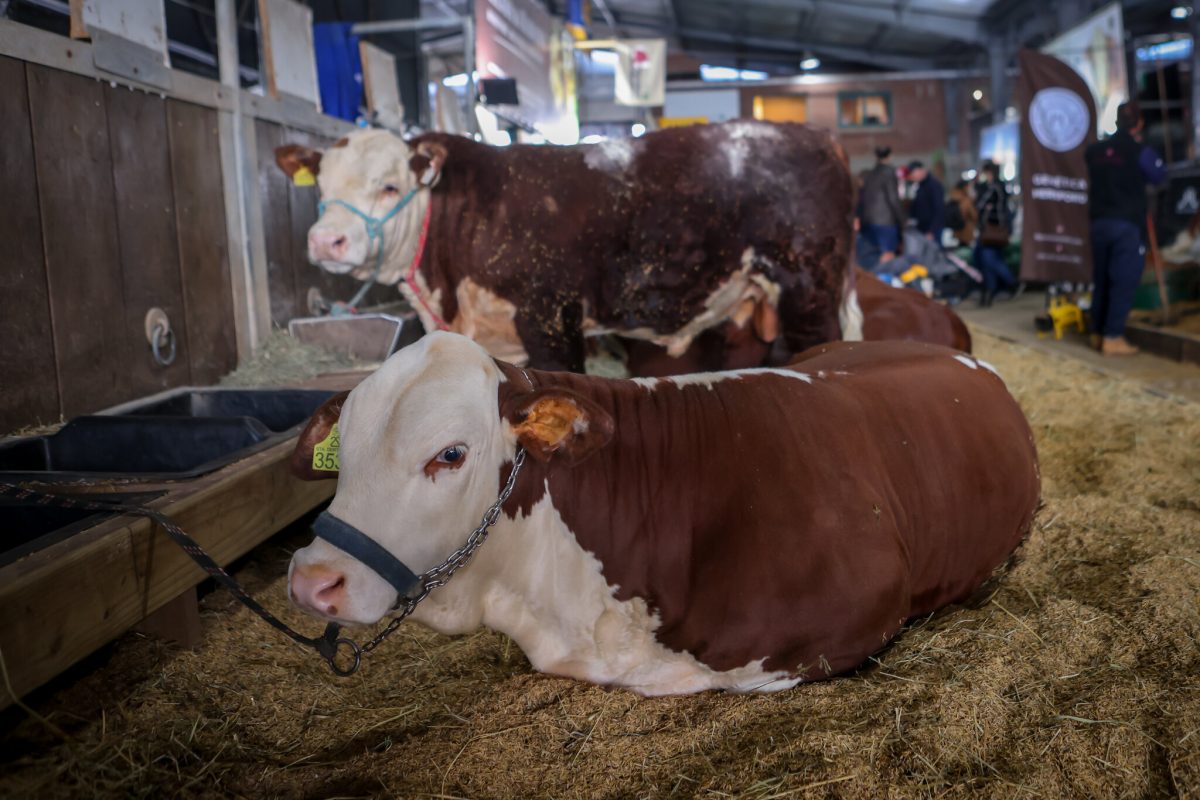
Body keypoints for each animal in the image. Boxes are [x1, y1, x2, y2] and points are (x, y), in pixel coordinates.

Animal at [276, 122, 859, 376]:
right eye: (321, 185)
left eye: (389, 186)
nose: (326, 240)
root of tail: (818, 136)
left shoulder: (550, 317)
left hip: (809, 288)